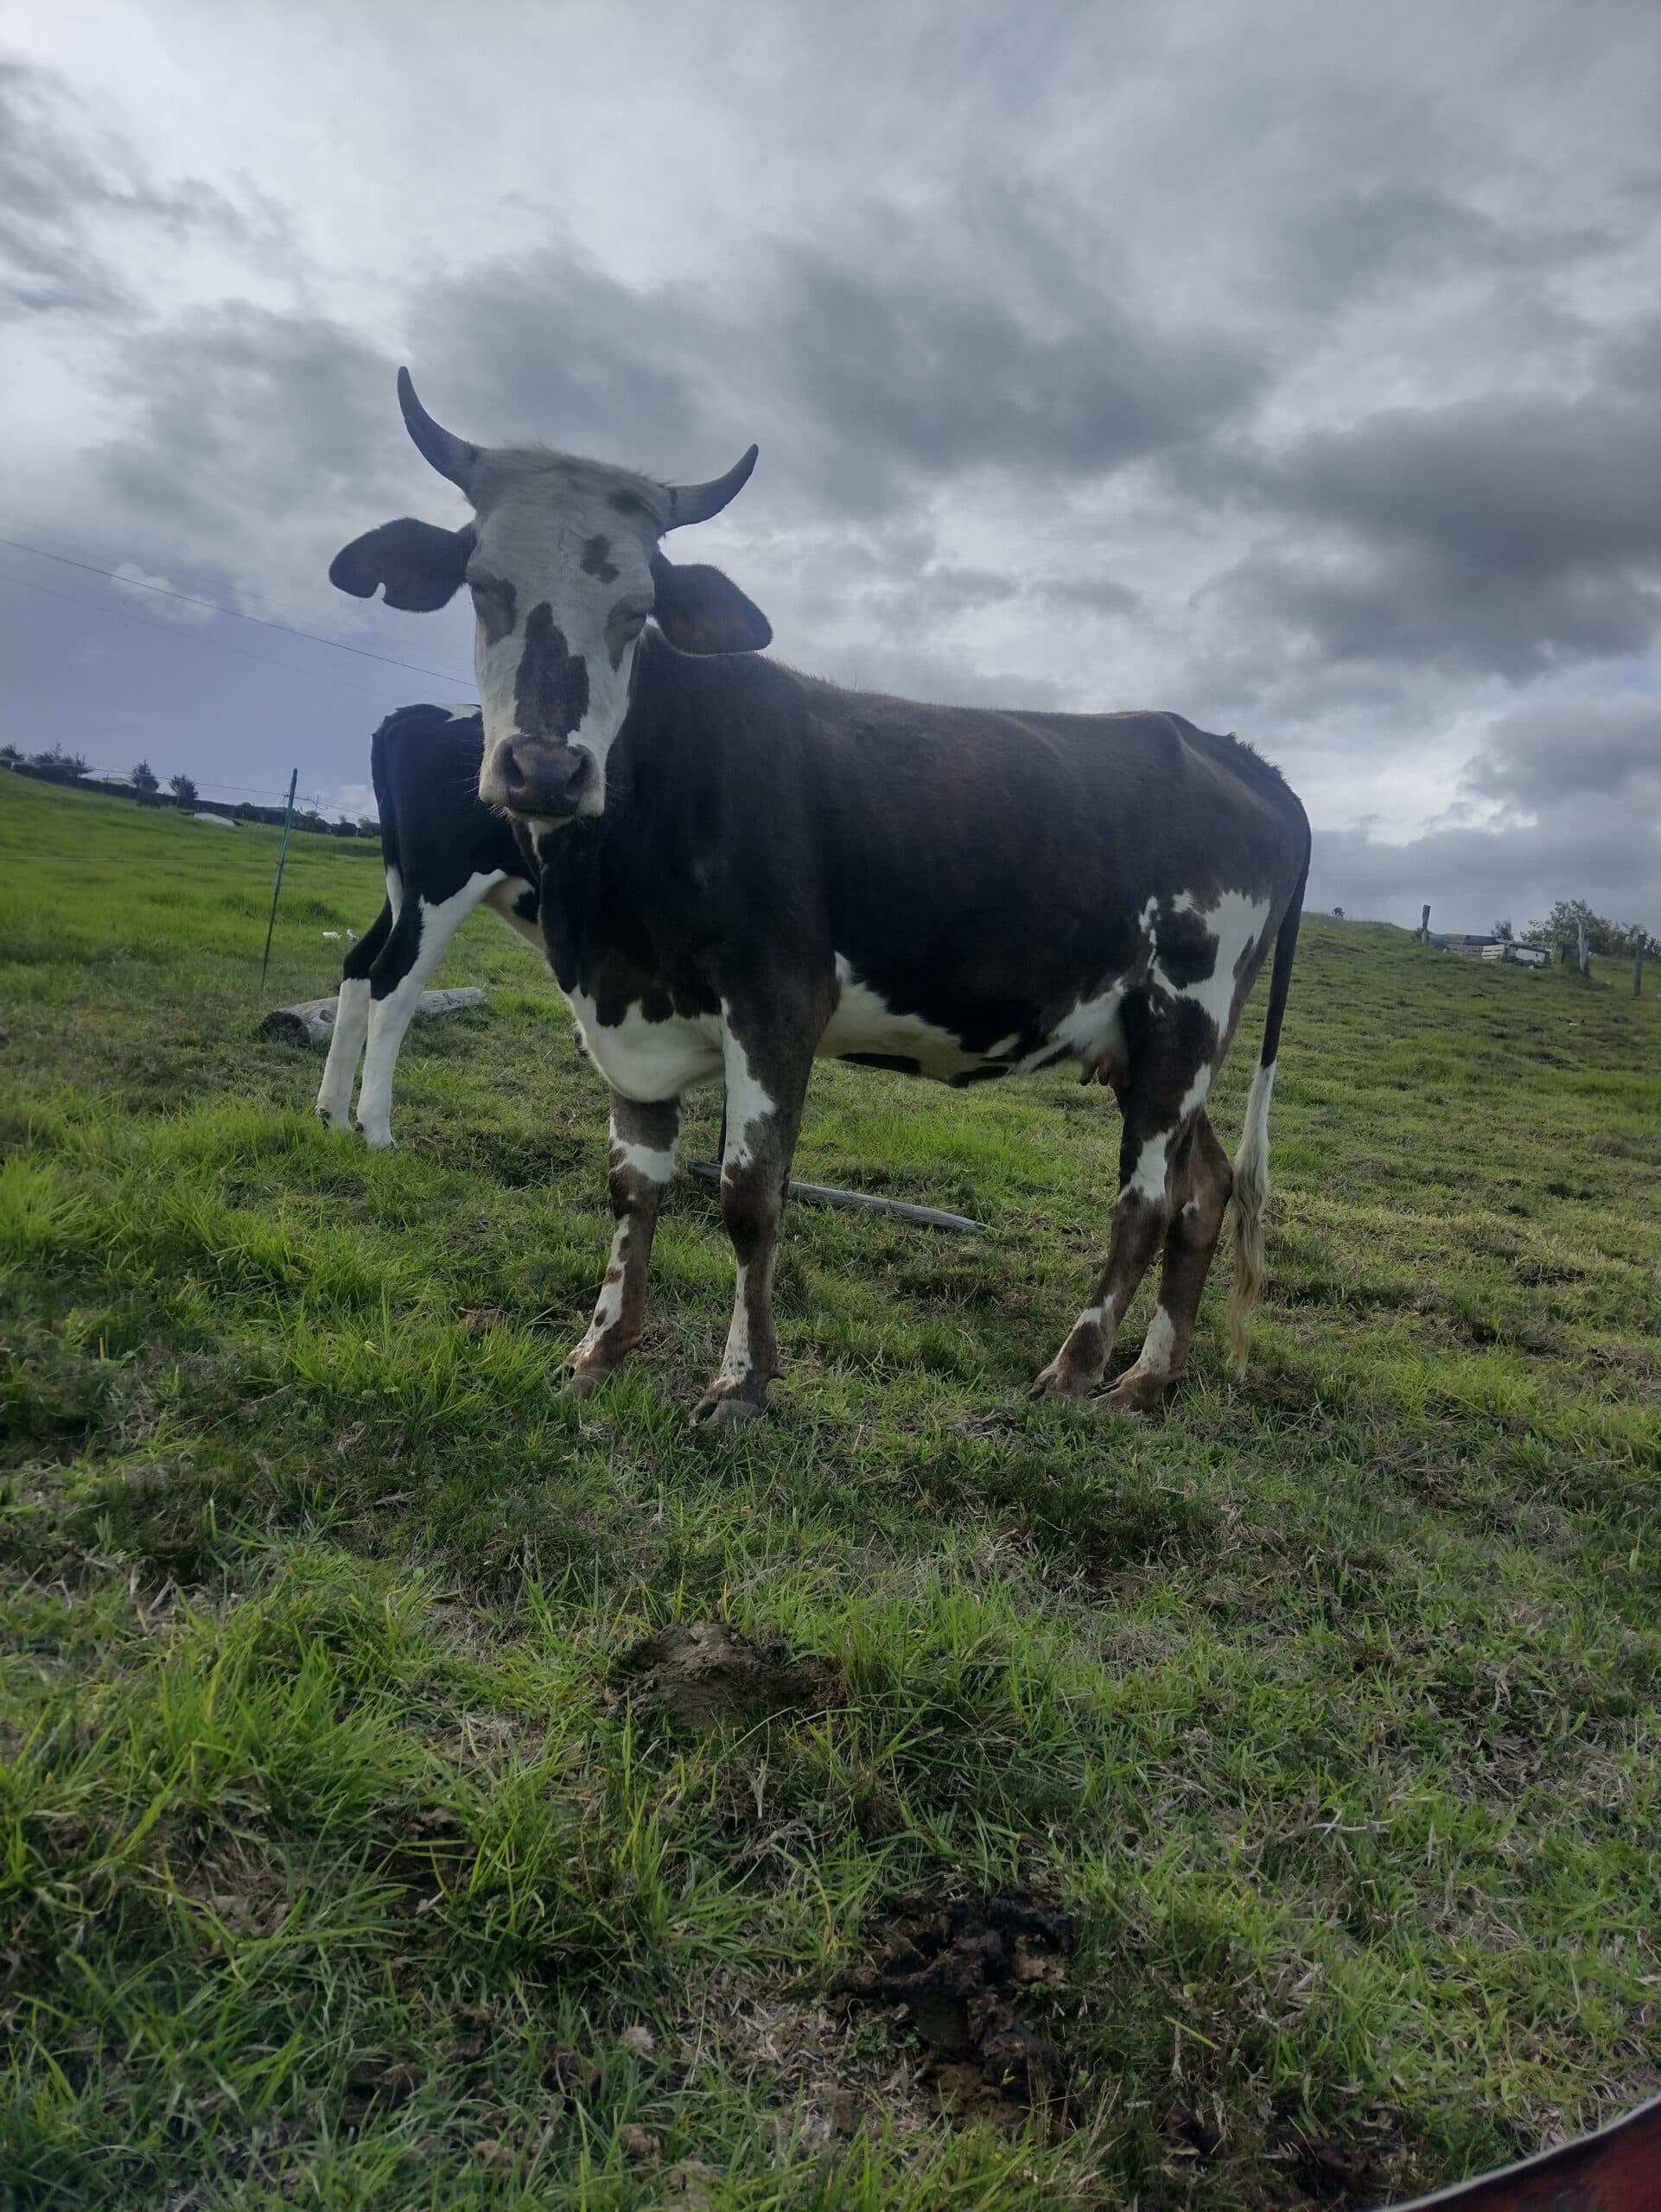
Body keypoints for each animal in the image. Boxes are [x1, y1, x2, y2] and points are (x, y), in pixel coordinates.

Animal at [314, 703, 540, 1148]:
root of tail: (422, 711)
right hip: (444, 882)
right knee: (392, 974)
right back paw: (376, 1132)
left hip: (403, 889)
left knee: (359, 962)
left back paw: (334, 1116)